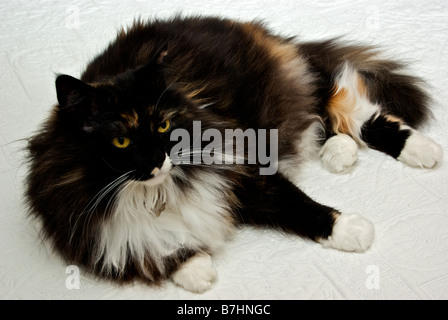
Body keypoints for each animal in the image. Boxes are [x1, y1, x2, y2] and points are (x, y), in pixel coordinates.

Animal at [26, 16, 442, 294]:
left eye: (163, 126)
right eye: (121, 142)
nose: (158, 161)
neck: (152, 194)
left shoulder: (243, 170)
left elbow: (297, 205)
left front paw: (354, 230)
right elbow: (155, 249)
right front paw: (197, 272)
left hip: (298, 84)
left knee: (350, 104)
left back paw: (425, 151)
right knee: (325, 120)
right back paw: (339, 153)